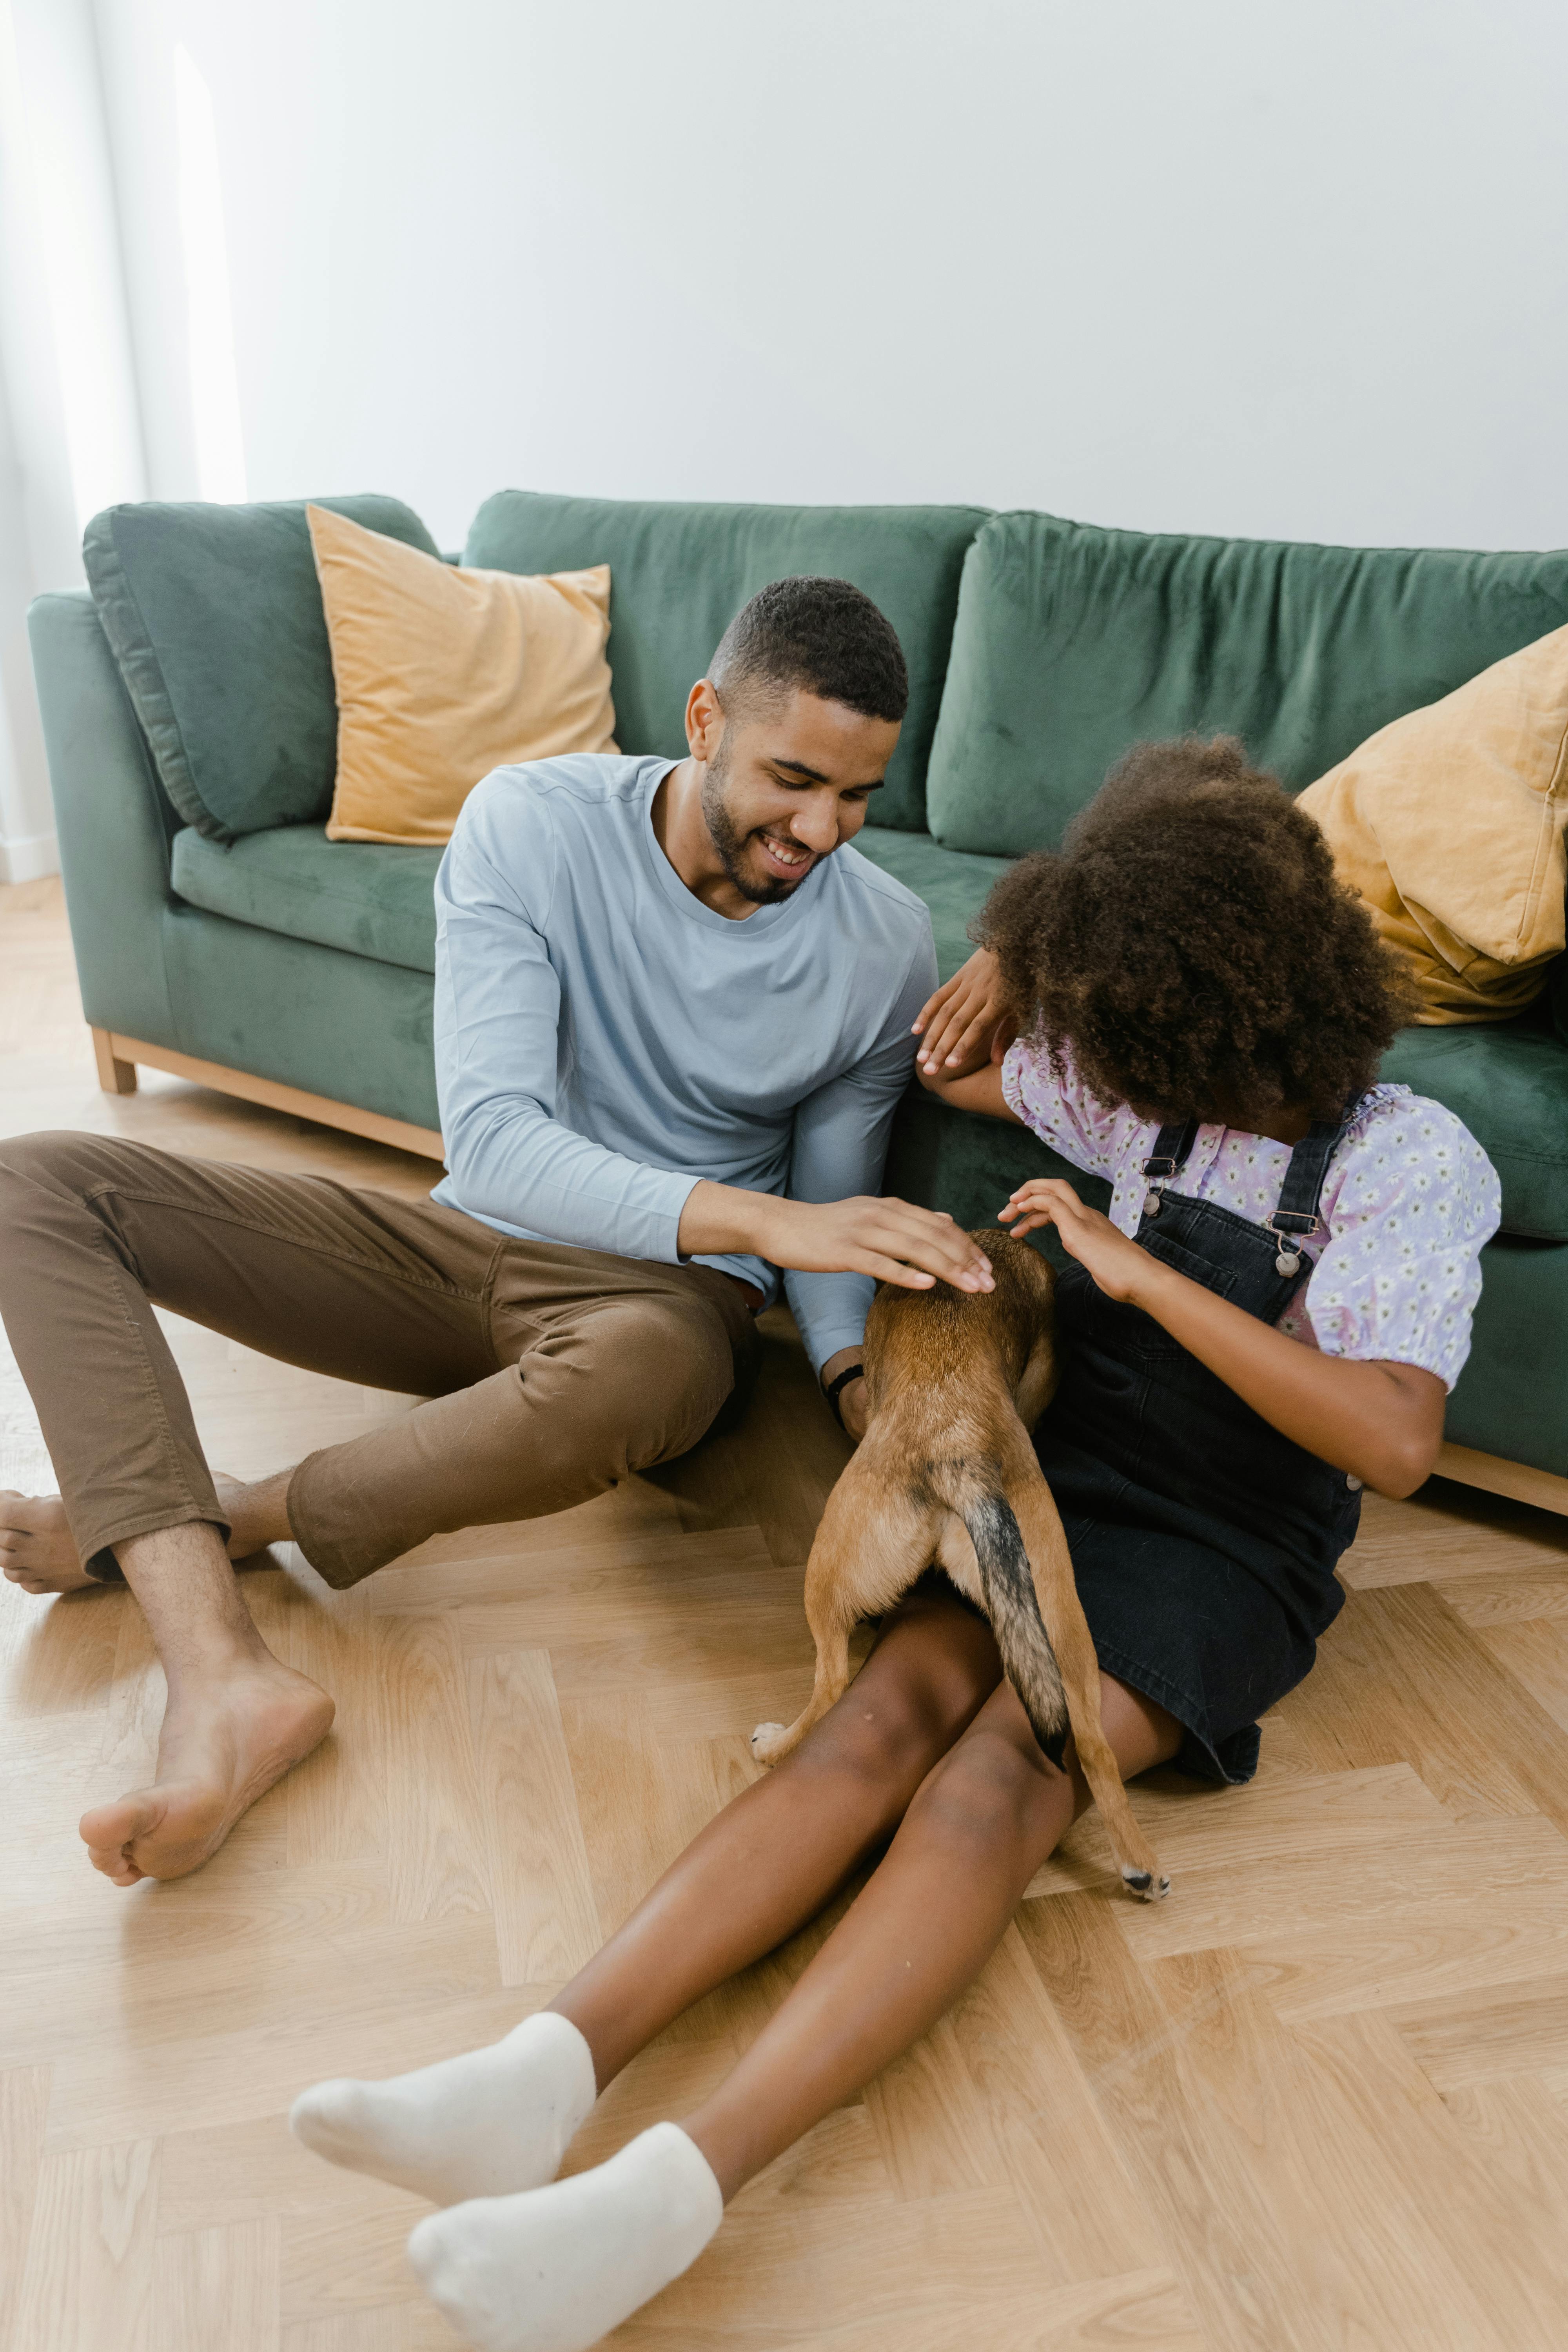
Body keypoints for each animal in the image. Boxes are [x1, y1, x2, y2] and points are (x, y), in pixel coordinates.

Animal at [752, 1223, 1171, 1900]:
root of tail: (961, 1453)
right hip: (1057, 1618)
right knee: (1093, 1742)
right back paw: (1140, 1864)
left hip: (827, 1569)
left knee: (832, 1682)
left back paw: (775, 1746)